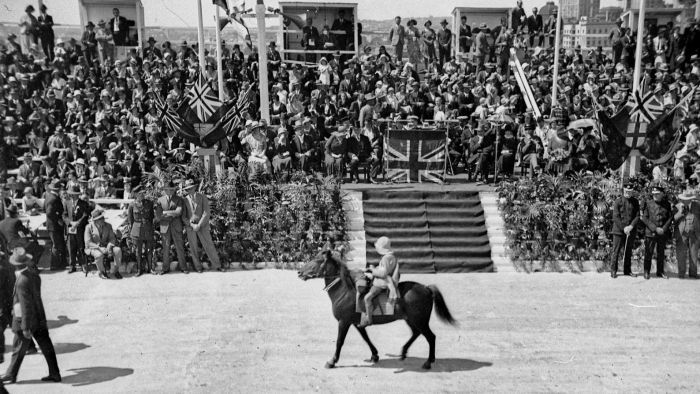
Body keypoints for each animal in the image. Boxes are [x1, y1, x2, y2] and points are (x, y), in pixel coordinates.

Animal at [298, 251, 456, 368]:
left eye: (317, 260)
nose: (299, 272)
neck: (345, 290)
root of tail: (426, 288)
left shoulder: (344, 322)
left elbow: (339, 341)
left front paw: (332, 361)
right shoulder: (356, 322)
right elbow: (366, 337)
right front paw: (374, 355)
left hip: (420, 321)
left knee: (431, 337)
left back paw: (428, 362)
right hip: (412, 320)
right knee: (416, 333)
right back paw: (404, 352)